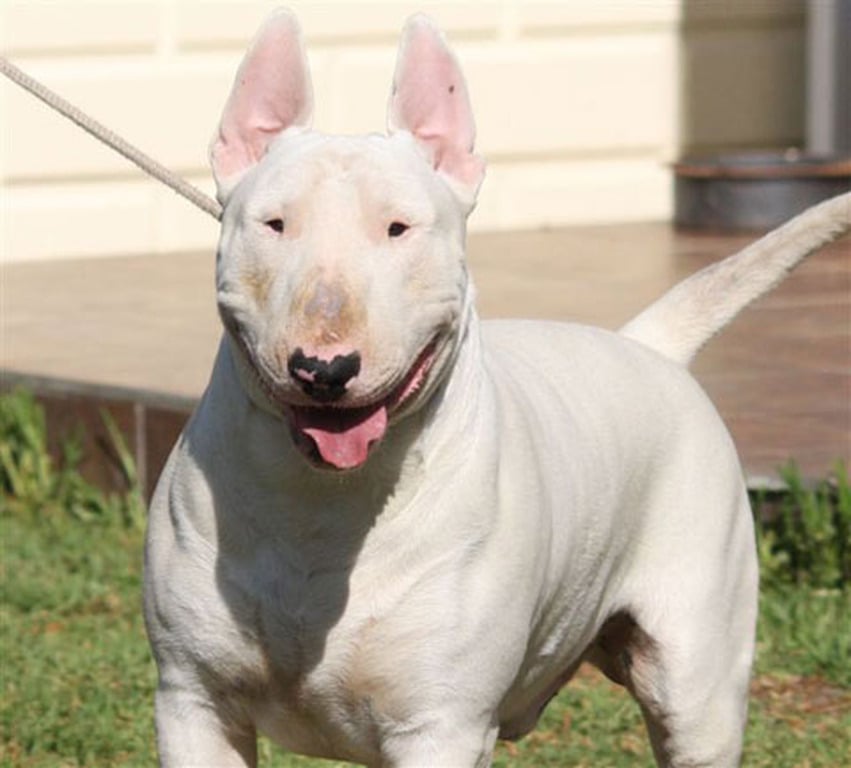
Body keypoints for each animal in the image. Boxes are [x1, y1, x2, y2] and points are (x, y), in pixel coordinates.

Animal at [143, 9, 848, 764]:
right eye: (275, 223)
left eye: (398, 227)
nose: (323, 369)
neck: (323, 504)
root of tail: (646, 344)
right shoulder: (192, 702)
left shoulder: (441, 724)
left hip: (697, 679)